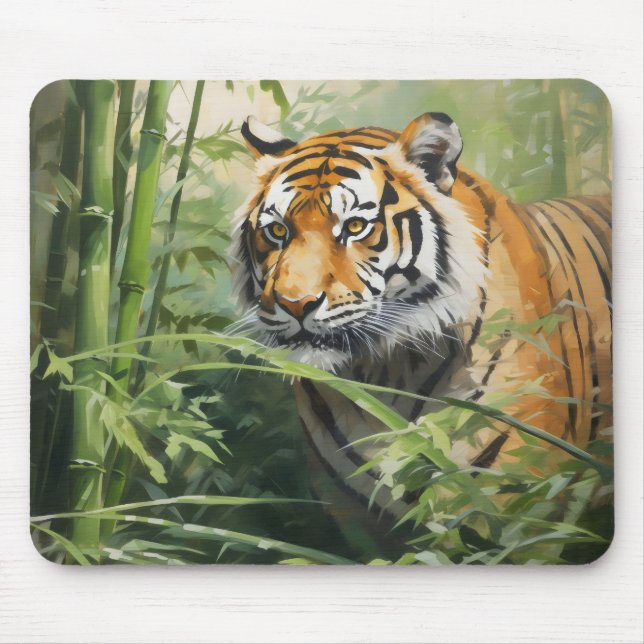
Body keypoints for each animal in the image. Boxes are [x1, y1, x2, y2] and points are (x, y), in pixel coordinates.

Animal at [230, 112, 612, 547]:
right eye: (277, 231)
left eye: (355, 226)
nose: (295, 304)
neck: (388, 371)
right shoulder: (357, 517)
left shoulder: (522, 505)